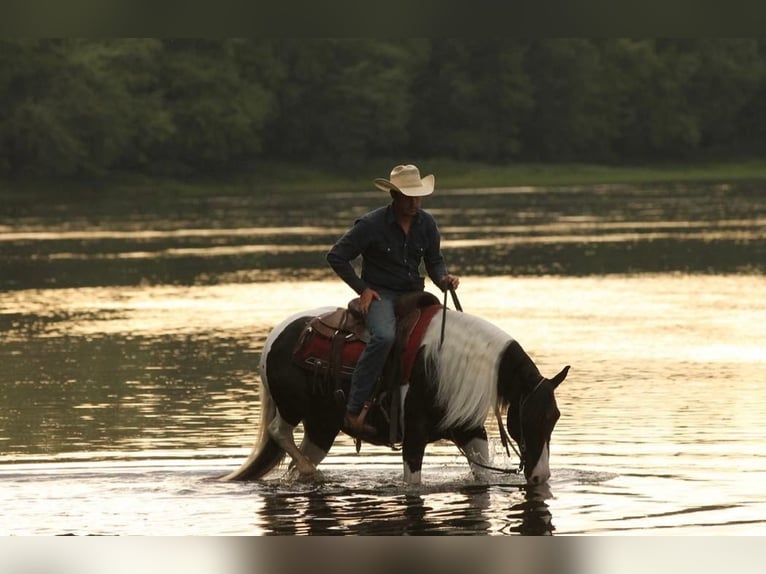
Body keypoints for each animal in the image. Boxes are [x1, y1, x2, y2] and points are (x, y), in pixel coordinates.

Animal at [222, 302, 568, 486]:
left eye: (555, 417)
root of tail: (275, 338)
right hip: (292, 408)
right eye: (530, 417)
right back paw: (312, 472)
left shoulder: (468, 429)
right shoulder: (414, 433)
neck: (444, 364)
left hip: (322, 426)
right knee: (279, 431)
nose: (541, 477)